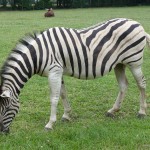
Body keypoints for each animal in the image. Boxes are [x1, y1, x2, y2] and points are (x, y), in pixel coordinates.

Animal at [0, 18, 150, 133]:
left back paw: (142, 112)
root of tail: (137, 24)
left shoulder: (54, 71)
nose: (3, 132)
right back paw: (112, 111)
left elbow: (54, 98)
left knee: (141, 83)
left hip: (134, 61)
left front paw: (50, 124)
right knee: (124, 85)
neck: (38, 55)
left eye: (7, 108)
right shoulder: (58, 72)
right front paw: (66, 115)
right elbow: (63, 94)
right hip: (119, 64)